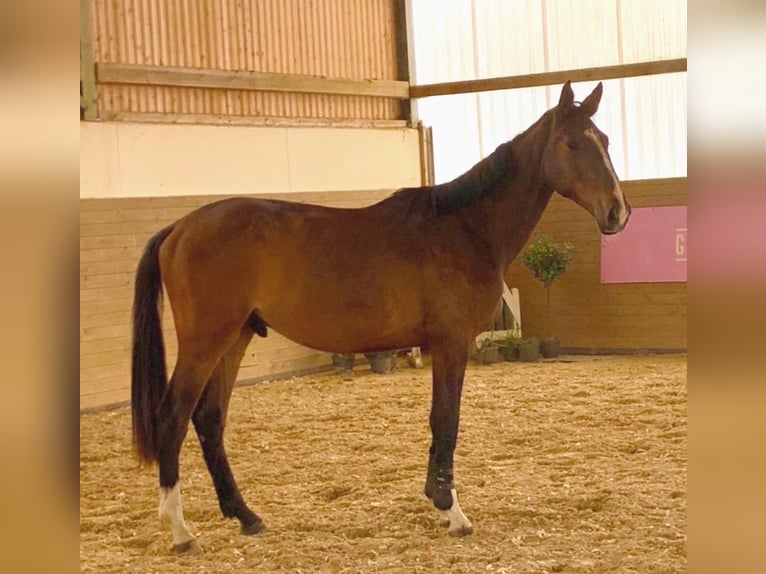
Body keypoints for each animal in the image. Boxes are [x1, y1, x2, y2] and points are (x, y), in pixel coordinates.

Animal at [134, 83, 632, 556]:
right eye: (571, 143)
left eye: (605, 140)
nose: (617, 211)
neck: (465, 226)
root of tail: (179, 229)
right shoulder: (451, 343)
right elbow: (445, 419)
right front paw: (451, 510)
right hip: (206, 342)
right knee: (174, 417)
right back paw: (181, 531)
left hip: (235, 339)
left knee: (209, 419)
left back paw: (245, 515)